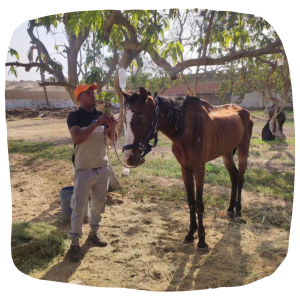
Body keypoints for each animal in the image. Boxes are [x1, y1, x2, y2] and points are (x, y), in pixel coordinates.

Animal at [122, 86, 253, 251]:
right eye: (124, 120)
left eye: (140, 118)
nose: (128, 157)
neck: (187, 129)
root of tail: (244, 111)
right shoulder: (185, 169)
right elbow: (191, 201)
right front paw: (191, 233)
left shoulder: (199, 169)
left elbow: (199, 204)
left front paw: (202, 240)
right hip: (227, 153)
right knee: (233, 177)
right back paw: (230, 209)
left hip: (243, 150)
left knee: (240, 178)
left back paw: (239, 210)